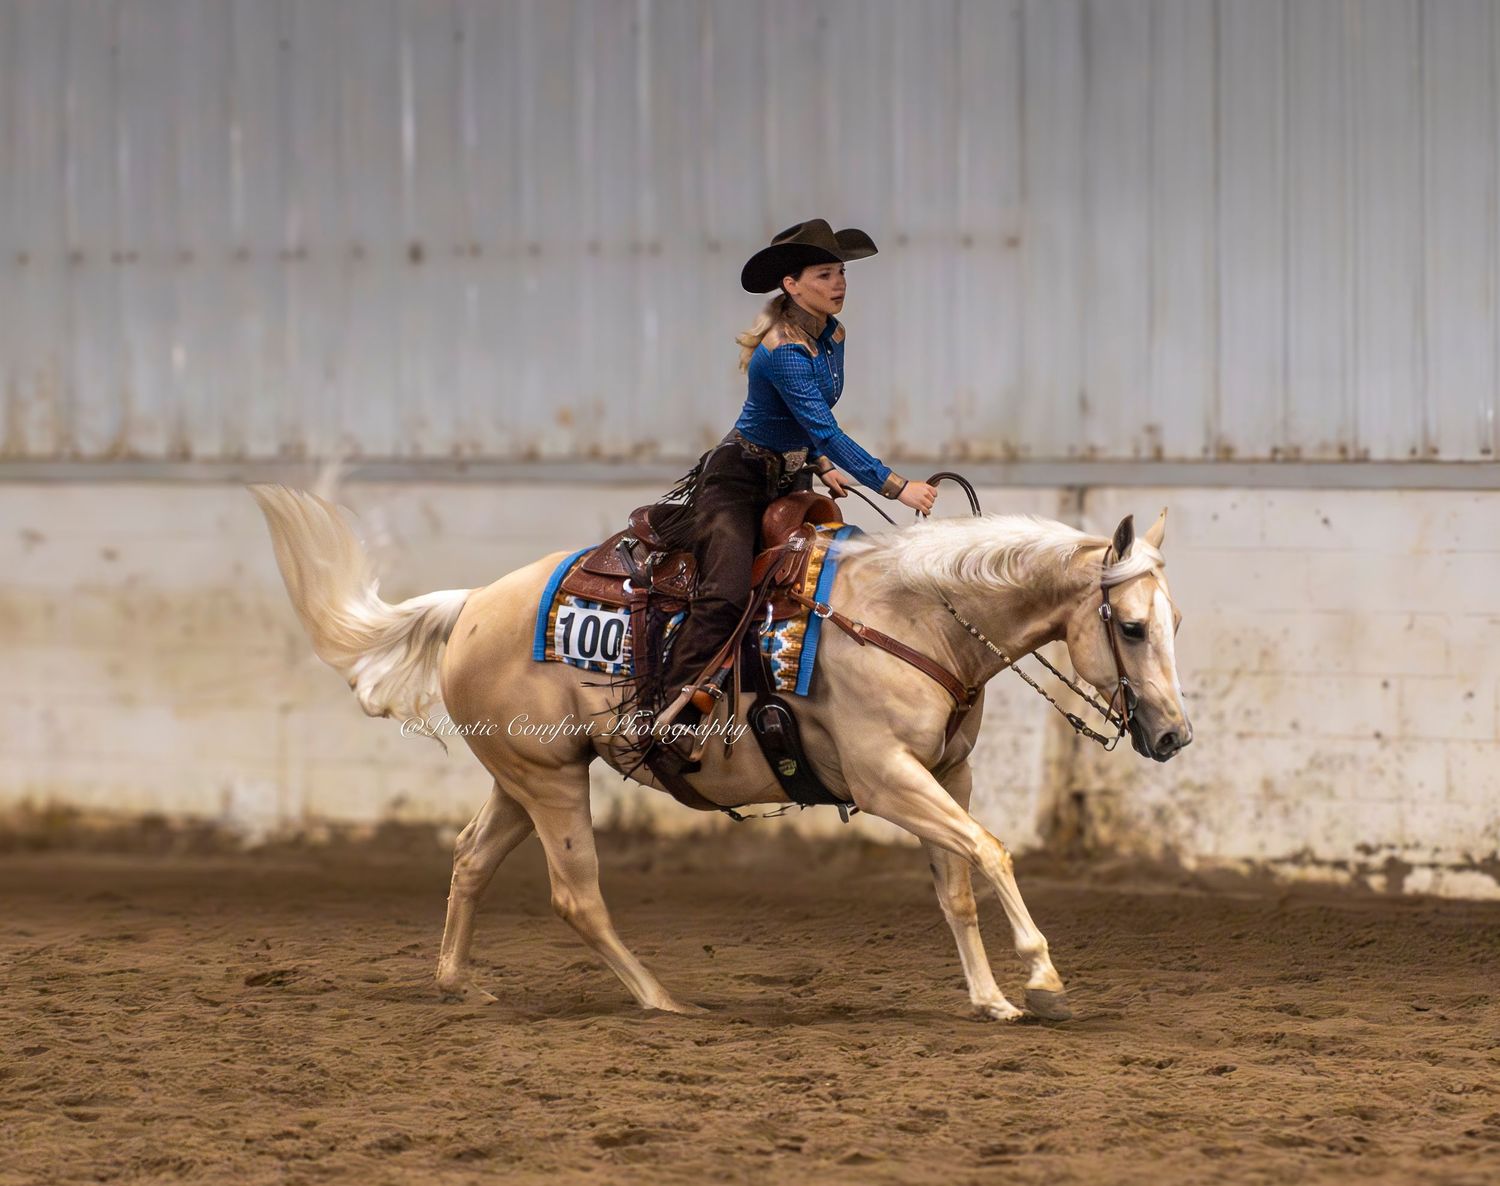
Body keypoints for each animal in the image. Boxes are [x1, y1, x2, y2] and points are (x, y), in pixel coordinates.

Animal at [249, 485, 1191, 1022]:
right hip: (550, 782)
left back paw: (456, 983)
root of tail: (474, 601)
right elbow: (992, 852)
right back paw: (662, 999)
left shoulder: (944, 775)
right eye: (1130, 626)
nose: (1174, 735)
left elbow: (956, 884)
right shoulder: (888, 780)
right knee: (575, 895)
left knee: (470, 860)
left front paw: (991, 999)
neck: (917, 618)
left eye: (1174, 620)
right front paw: (1041, 979)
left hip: (524, 777)